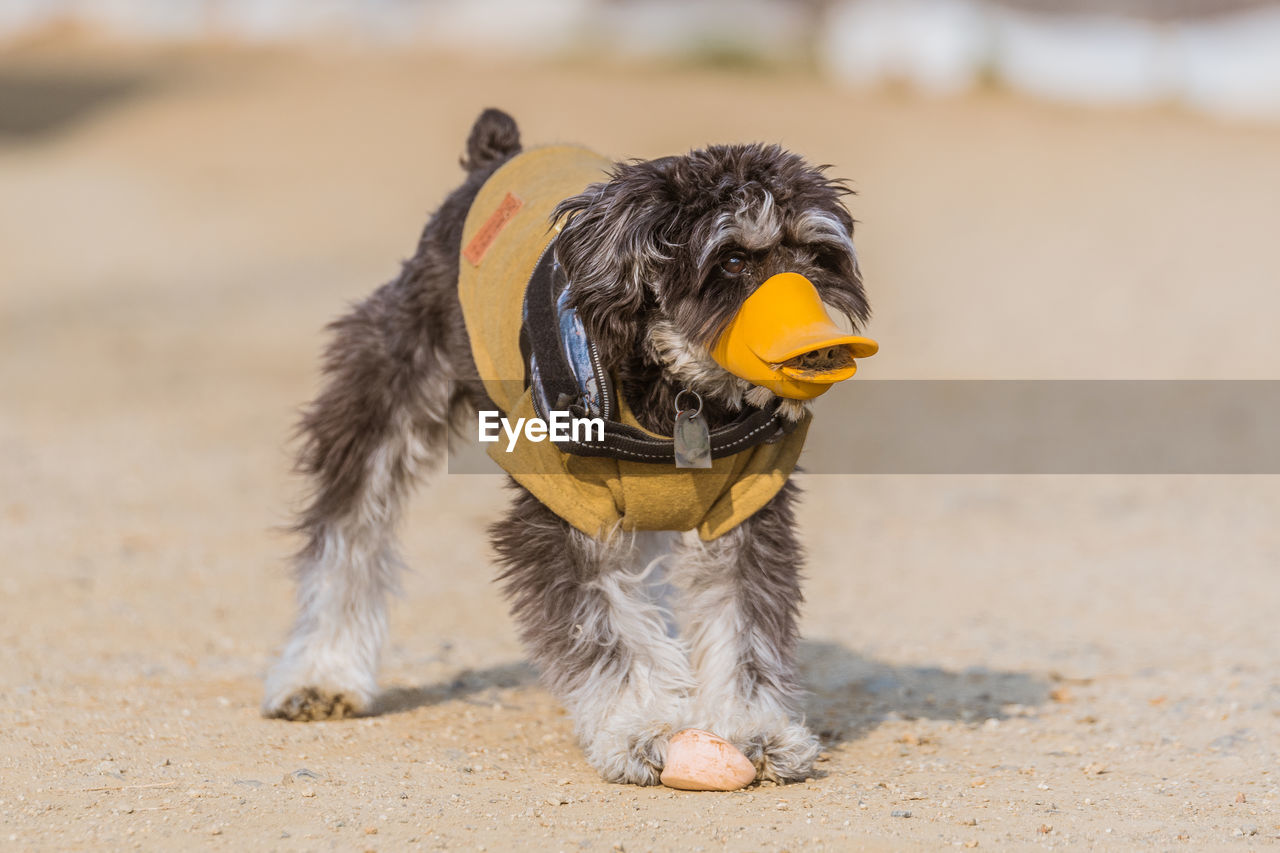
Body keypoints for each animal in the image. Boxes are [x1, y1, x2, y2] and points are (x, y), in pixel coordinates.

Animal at [264, 108, 875, 783]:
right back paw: (321, 675)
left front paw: (754, 729)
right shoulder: (566, 514)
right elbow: (607, 628)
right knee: (349, 533)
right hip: (382, 391)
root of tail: (494, 156)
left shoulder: (744, 514)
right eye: (734, 260)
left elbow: (744, 625)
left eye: (819, 257)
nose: (818, 351)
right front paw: (643, 727)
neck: (680, 394)